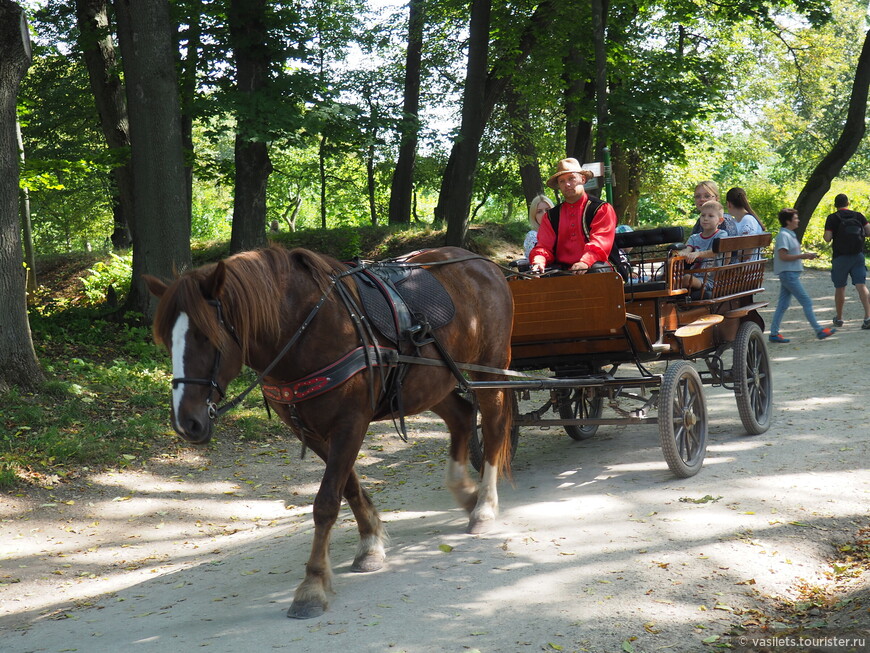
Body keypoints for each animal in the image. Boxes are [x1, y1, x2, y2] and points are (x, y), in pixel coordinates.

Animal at [146, 244, 516, 616]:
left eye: (207, 337)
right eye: (167, 341)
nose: (186, 422)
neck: (306, 327)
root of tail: (480, 261)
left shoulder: (350, 422)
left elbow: (326, 502)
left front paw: (312, 585)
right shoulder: (309, 431)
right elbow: (348, 487)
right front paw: (370, 543)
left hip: (488, 371)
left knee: (494, 428)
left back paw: (484, 506)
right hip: (429, 383)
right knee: (461, 417)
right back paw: (465, 492)